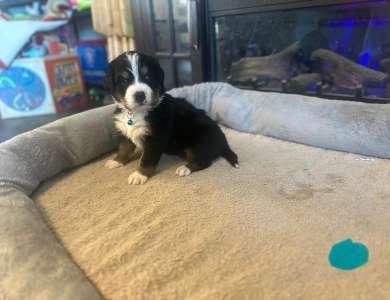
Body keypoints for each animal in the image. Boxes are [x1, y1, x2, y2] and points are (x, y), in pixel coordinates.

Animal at [103, 50, 238, 184]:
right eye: (124, 81)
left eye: (148, 77)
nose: (140, 95)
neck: (137, 112)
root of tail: (223, 141)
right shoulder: (124, 131)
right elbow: (124, 148)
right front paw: (117, 161)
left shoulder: (156, 138)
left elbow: (146, 159)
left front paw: (139, 175)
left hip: (199, 143)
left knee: (203, 161)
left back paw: (185, 168)